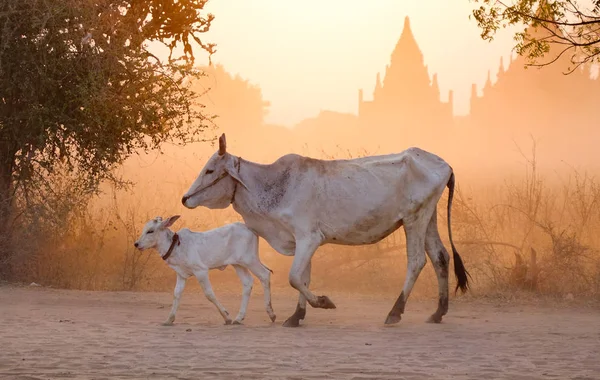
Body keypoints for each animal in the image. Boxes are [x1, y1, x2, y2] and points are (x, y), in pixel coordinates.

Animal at [180, 134, 472, 326]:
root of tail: (444, 164)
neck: (273, 185)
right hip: (428, 218)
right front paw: (296, 316)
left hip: (414, 219)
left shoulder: (308, 237)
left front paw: (322, 302)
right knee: (440, 257)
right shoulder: (301, 241)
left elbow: (295, 277)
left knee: (417, 261)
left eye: (210, 170)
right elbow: (303, 277)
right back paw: (438, 312)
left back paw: (395, 312)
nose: (185, 198)